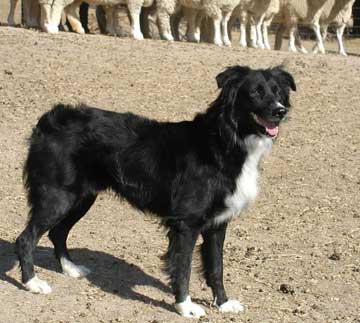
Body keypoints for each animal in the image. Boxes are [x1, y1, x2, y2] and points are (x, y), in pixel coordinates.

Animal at [16, 64, 296, 318]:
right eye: (256, 92)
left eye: (277, 92)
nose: (280, 111)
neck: (225, 140)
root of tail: (49, 119)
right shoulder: (186, 223)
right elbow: (183, 267)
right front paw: (185, 306)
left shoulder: (217, 223)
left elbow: (217, 267)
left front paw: (224, 303)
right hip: (58, 197)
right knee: (26, 239)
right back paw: (32, 283)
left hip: (81, 198)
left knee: (57, 232)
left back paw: (70, 268)